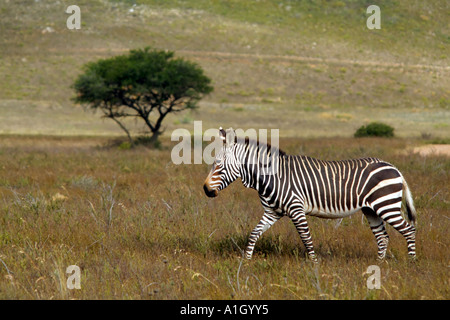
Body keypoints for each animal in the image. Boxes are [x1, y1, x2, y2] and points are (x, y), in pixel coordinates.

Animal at [202, 128, 416, 262]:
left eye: (219, 165)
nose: (205, 190)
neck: (272, 177)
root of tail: (395, 168)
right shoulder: (272, 212)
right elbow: (254, 233)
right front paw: (246, 261)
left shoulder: (296, 209)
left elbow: (305, 236)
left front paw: (314, 264)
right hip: (371, 209)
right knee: (383, 237)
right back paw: (379, 264)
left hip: (386, 205)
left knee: (409, 229)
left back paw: (411, 262)